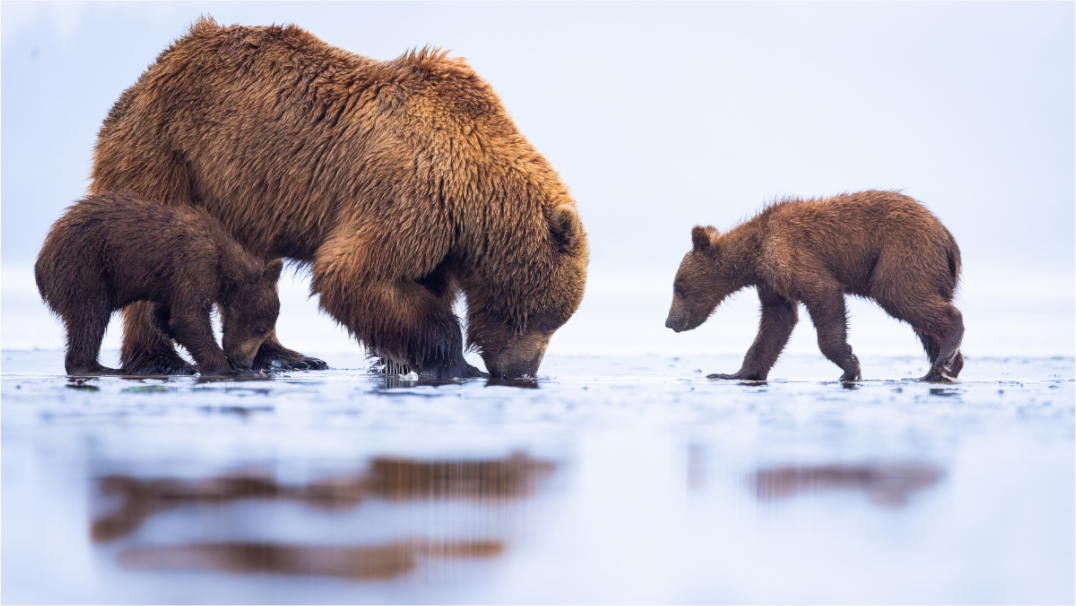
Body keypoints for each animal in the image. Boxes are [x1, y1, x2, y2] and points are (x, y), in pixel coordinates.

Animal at [35, 192, 284, 377]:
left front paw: (193, 364)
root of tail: (41, 261)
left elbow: (164, 318)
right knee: (90, 315)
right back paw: (98, 367)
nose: (244, 362)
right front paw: (228, 369)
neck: (222, 263)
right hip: (84, 265)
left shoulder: (169, 283)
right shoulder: (194, 264)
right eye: (262, 329)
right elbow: (189, 317)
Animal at [90, 17, 588, 379]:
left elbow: (413, 288)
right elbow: (355, 273)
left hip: (242, 195)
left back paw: (285, 354)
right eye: (545, 316)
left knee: (252, 273)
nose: (521, 371)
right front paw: (453, 362)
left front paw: (397, 357)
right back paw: (161, 360)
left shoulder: (441, 234)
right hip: (169, 157)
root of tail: (152, 70)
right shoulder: (410, 194)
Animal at [665, 190, 964, 383]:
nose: (669, 321)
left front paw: (850, 365)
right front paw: (732, 373)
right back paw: (942, 367)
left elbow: (823, 293)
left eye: (678, 286)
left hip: (902, 253)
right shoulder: (771, 281)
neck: (755, 253)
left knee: (901, 296)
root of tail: (948, 239)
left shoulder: (789, 255)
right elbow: (777, 322)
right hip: (931, 272)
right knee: (923, 322)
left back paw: (944, 354)